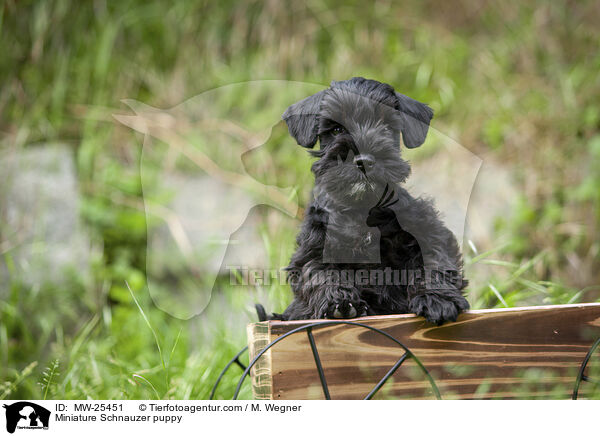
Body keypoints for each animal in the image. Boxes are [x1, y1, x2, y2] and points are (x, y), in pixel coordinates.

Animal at [264, 77, 466, 324]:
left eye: (386, 126)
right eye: (337, 129)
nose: (364, 160)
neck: (362, 208)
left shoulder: (428, 229)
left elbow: (433, 261)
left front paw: (437, 299)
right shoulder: (313, 248)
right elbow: (320, 271)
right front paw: (340, 302)